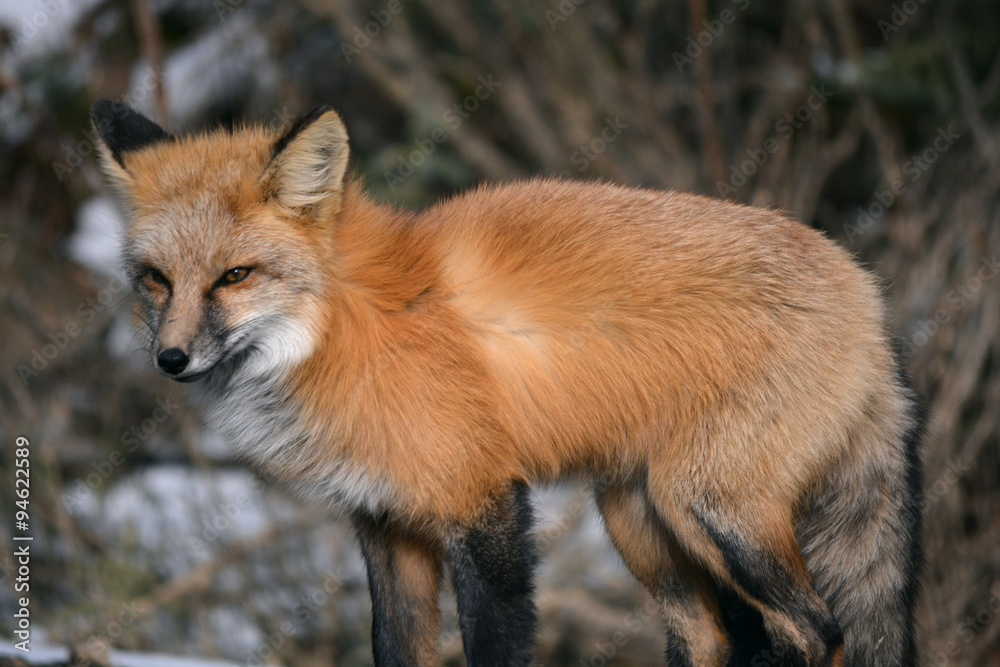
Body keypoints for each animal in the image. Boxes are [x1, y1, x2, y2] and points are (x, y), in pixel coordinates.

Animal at [91, 99, 923, 667]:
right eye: (157, 279)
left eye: (235, 276)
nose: (171, 358)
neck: (352, 325)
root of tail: (869, 294)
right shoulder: (386, 523)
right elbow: (397, 649)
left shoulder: (481, 501)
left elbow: (492, 643)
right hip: (641, 521)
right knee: (714, 637)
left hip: (712, 509)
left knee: (819, 629)